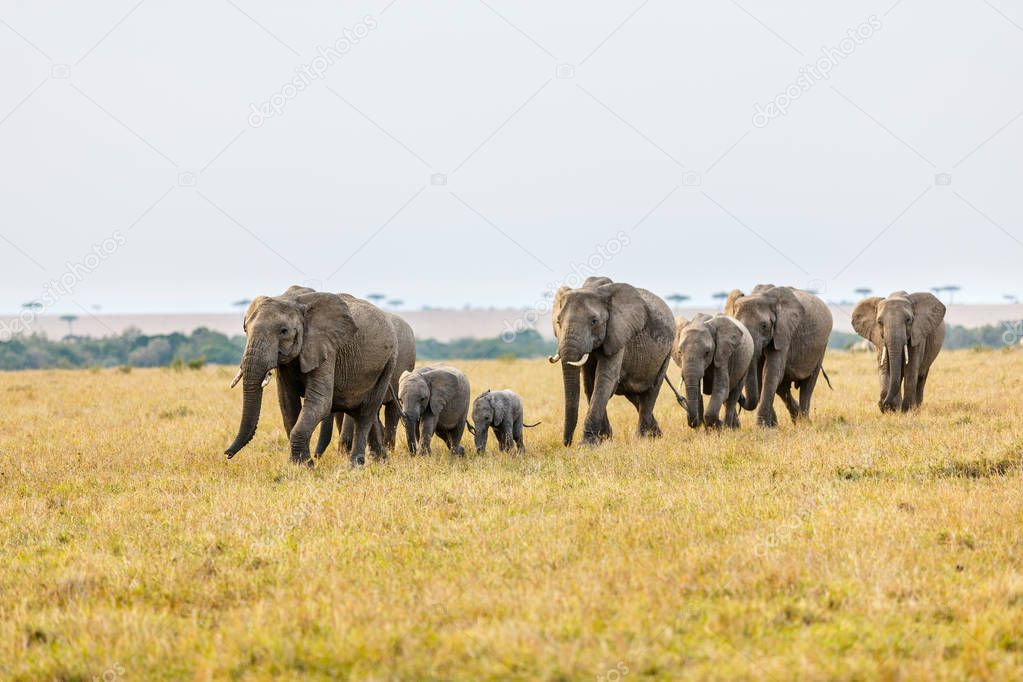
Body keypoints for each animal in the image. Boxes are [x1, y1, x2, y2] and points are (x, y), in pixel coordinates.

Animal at [224, 284, 394, 470]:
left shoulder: (326, 349)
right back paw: (381, 462)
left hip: (388, 363)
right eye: (245, 329)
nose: (227, 454)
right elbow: (287, 404)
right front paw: (299, 465)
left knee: (366, 412)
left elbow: (320, 402)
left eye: (284, 331)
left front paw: (305, 466)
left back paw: (356, 466)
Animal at [548, 274, 675, 445]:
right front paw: (604, 439)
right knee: (634, 395)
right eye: (558, 322)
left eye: (594, 321)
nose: (567, 443)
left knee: (651, 391)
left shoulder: (618, 333)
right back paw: (656, 435)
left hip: (666, 353)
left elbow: (604, 379)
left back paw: (642, 438)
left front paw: (588, 444)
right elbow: (590, 383)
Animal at [728, 286, 830, 427]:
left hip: (821, 348)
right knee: (783, 387)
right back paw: (796, 419)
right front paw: (771, 427)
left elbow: (770, 372)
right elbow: (762, 375)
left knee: (808, 384)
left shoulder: (783, 333)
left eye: (764, 326)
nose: (740, 398)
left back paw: (804, 422)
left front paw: (762, 427)